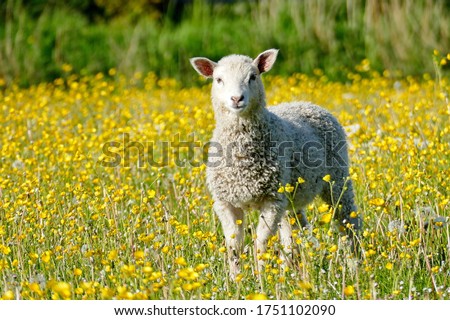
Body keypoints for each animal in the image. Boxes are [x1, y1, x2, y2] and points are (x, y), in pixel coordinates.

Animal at [190, 48, 362, 276]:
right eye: (218, 79)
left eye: (253, 77)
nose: (236, 98)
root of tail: (307, 103)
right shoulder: (226, 202)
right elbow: (234, 245)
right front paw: (236, 279)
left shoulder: (272, 200)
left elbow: (261, 242)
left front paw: (261, 276)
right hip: (292, 196)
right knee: (295, 230)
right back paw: (294, 271)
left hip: (337, 179)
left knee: (348, 221)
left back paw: (357, 265)